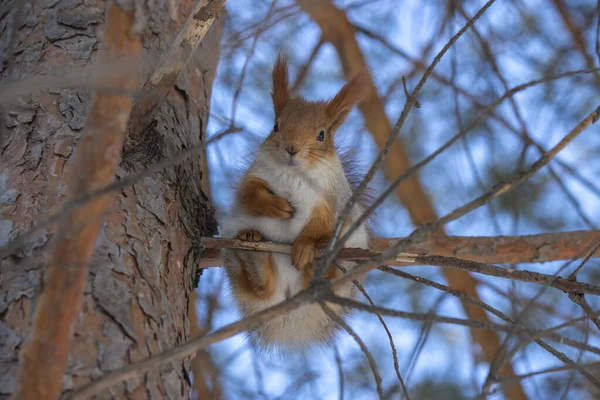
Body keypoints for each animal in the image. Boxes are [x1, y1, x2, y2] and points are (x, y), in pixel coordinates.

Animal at [220, 54, 370, 350]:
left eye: (322, 134)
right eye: (276, 125)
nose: (292, 149)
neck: (294, 173)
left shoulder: (330, 200)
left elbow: (320, 223)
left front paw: (305, 247)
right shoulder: (255, 175)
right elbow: (249, 194)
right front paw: (276, 206)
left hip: (350, 257)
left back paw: (318, 265)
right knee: (261, 289)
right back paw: (253, 252)